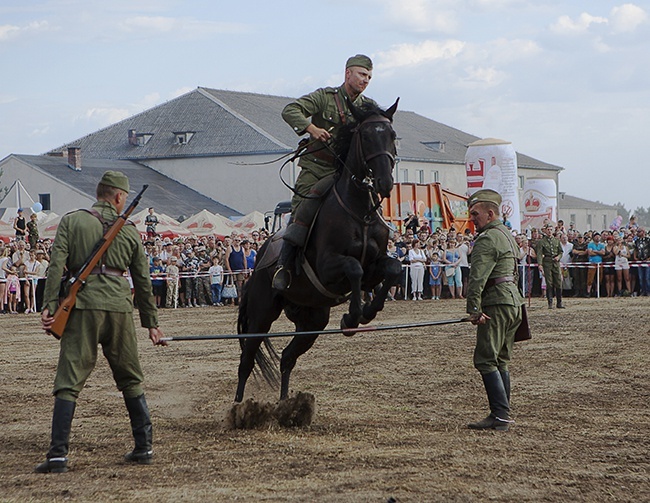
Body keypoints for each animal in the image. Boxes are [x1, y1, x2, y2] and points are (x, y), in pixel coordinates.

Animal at [235, 100, 400, 404]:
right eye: (366, 136)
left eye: (392, 136)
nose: (384, 183)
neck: (360, 210)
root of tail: (259, 261)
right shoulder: (328, 267)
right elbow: (354, 268)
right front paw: (353, 316)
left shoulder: (375, 267)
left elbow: (392, 269)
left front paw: (369, 310)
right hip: (261, 315)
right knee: (247, 360)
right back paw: (238, 406)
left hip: (313, 319)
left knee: (287, 358)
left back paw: (285, 403)